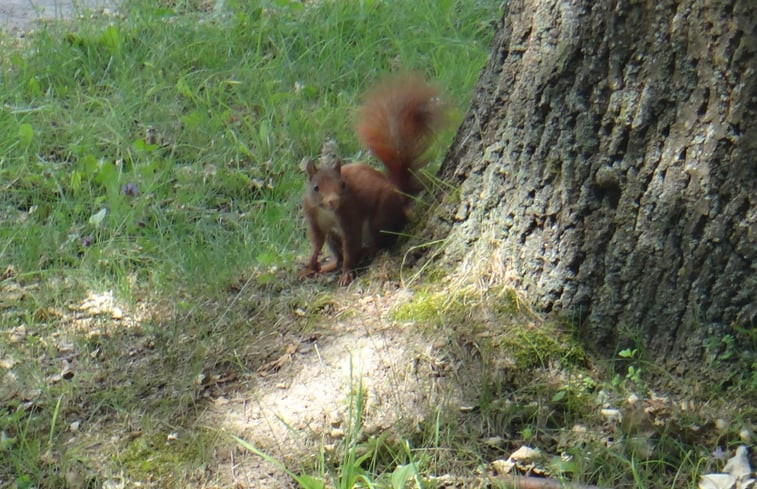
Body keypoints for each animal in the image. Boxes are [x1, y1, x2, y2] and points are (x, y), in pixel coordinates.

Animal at [300, 74, 442, 284]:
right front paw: (310, 266)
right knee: (337, 251)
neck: (327, 212)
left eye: (342, 185)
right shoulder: (313, 218)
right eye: (316, 187)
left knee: (382, 241)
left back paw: (369, 251)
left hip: (381, 217)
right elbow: (317, 244)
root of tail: (399, 197)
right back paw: (330, 265)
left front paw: (347, 273)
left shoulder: (350, 215)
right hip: (335, 237)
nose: (333, 201)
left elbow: (350, 246)